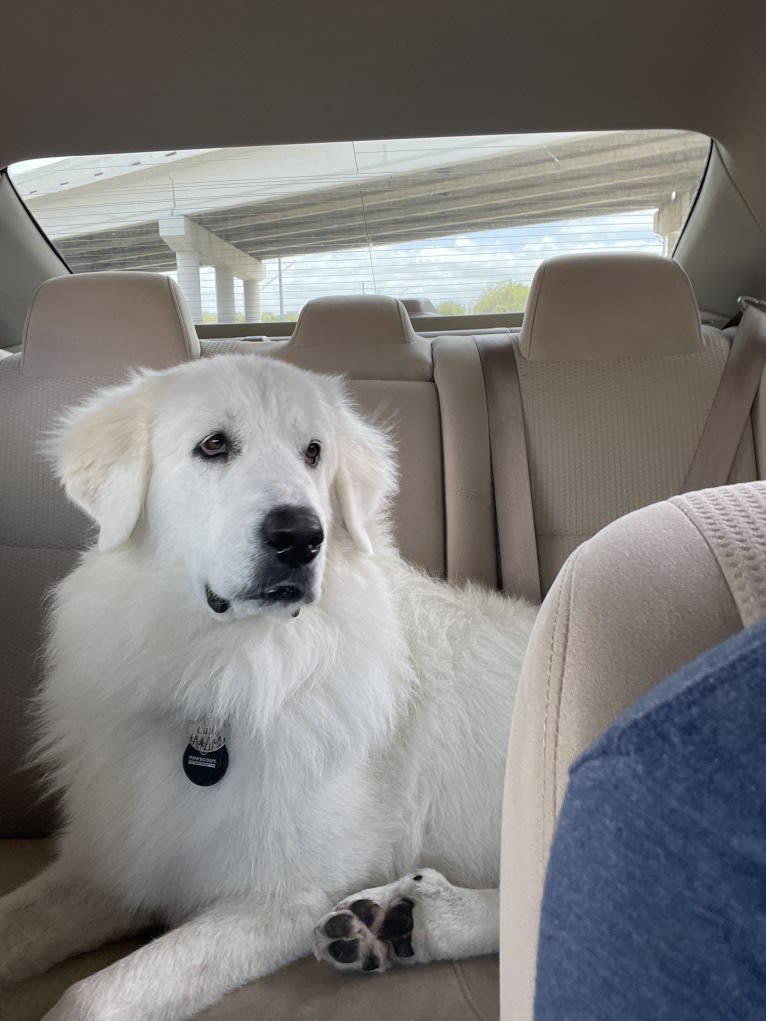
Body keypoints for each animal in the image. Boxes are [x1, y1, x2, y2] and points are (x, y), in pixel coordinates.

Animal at [0, 357, 535, 1021]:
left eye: (314, 452)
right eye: (212, 445)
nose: (300, 537)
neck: (229, 671)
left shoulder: (284, 896)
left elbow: (89, 997)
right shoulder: (112, 863)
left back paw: (421, 919)